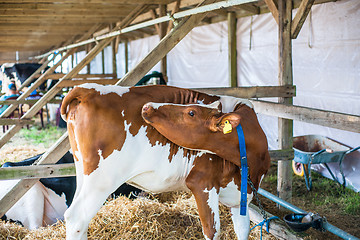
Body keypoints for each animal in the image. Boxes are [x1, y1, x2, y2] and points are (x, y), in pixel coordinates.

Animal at [61, 83, 270, 239]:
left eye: (191, 112)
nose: (148, 106)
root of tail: (88, 89)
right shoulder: (202, 182)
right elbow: (212, 231)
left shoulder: (240, 197)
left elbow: (242, 231)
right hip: (102, 178)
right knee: (77, 217)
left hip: (83, 171)